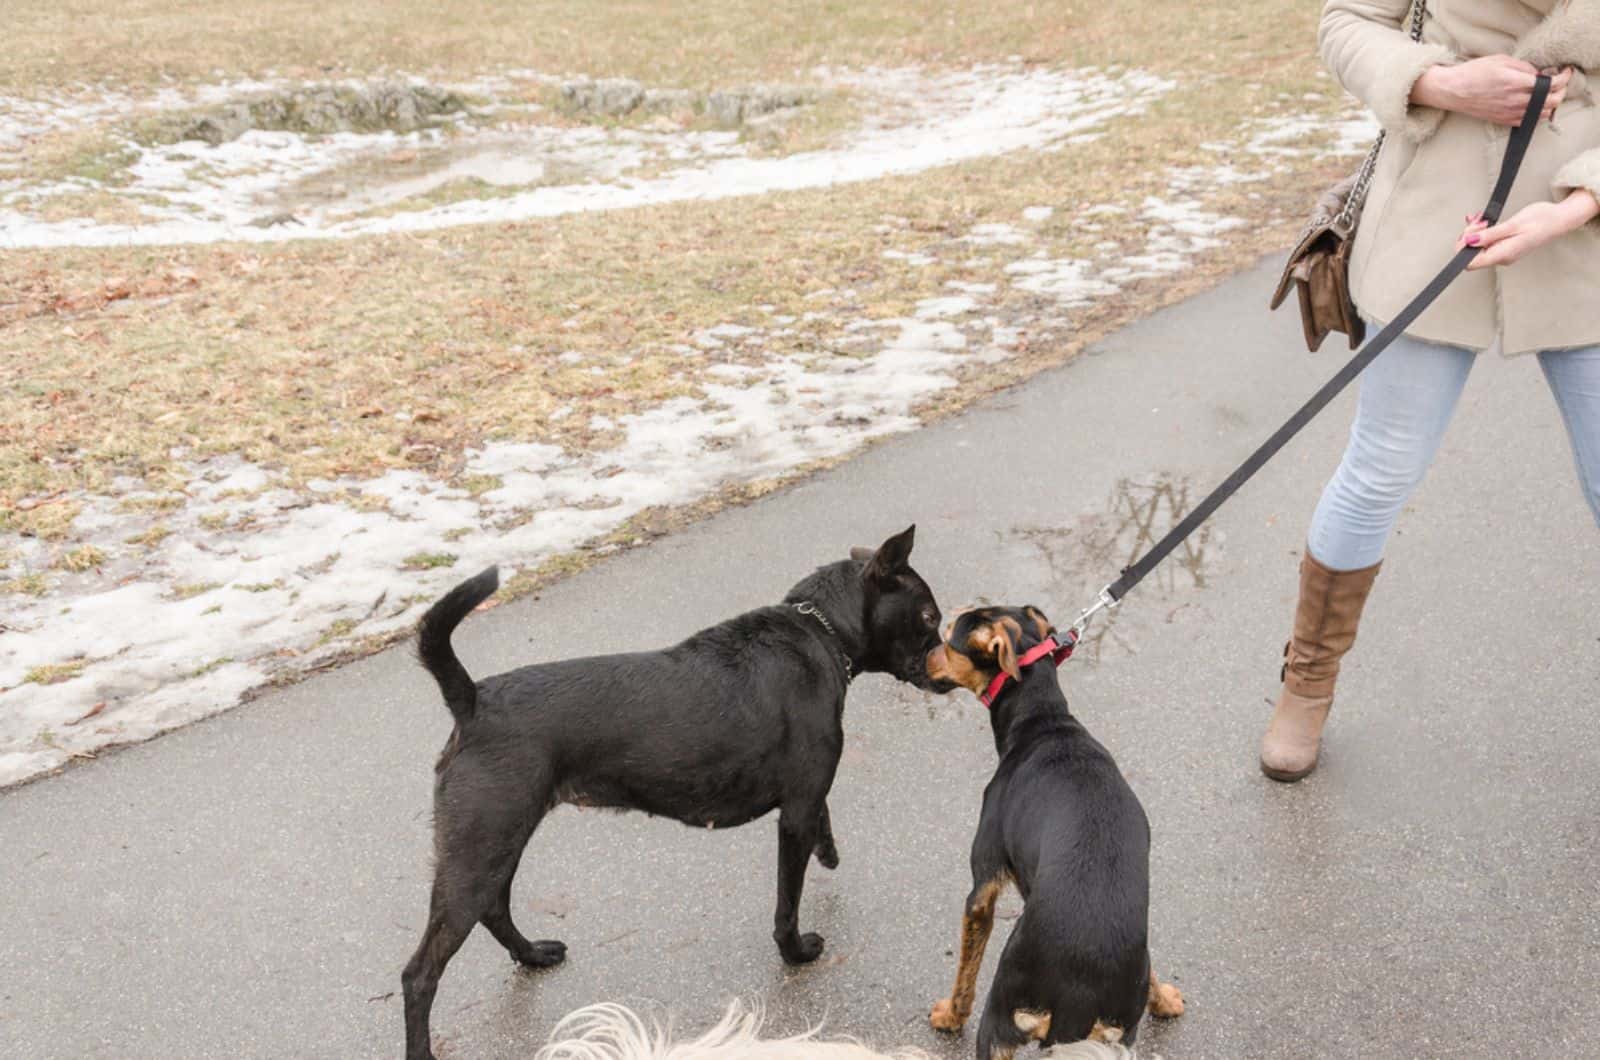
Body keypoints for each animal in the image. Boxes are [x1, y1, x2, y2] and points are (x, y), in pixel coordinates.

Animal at [403, 528, 947, 1060]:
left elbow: (822, 821)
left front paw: (828, 849)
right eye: (929, 617)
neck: (820, 629)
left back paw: (533, 954)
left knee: (495, 911)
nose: (948, 672)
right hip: (480, 851)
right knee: (420, 974)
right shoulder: (795, 813)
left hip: (498, 844)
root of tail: (473, 701)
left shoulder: (807, 795)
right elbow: (787, 904)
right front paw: (795, 952)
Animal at [921, 602, 1184, 1056]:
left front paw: (950, 1016)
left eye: (950, 639)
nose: (922, 658)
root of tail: (1077, 999)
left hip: (1000, 1021)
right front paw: (1165, 1000)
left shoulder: (982, 886)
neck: (1043, 719)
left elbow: (966, 971)